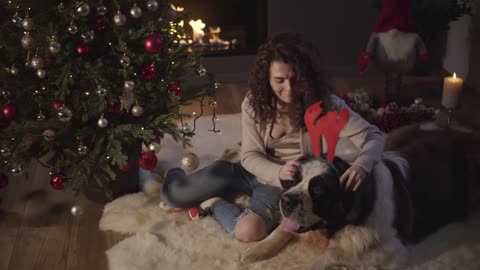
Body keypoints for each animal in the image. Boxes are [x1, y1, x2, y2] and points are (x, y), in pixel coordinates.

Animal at [242, 125, 480, 268]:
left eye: (318, 190)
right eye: (292, 181)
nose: (287, 200)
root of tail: (464, 133)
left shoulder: (393, 252)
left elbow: (330, 257)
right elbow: (282, 229)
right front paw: (257, 250)